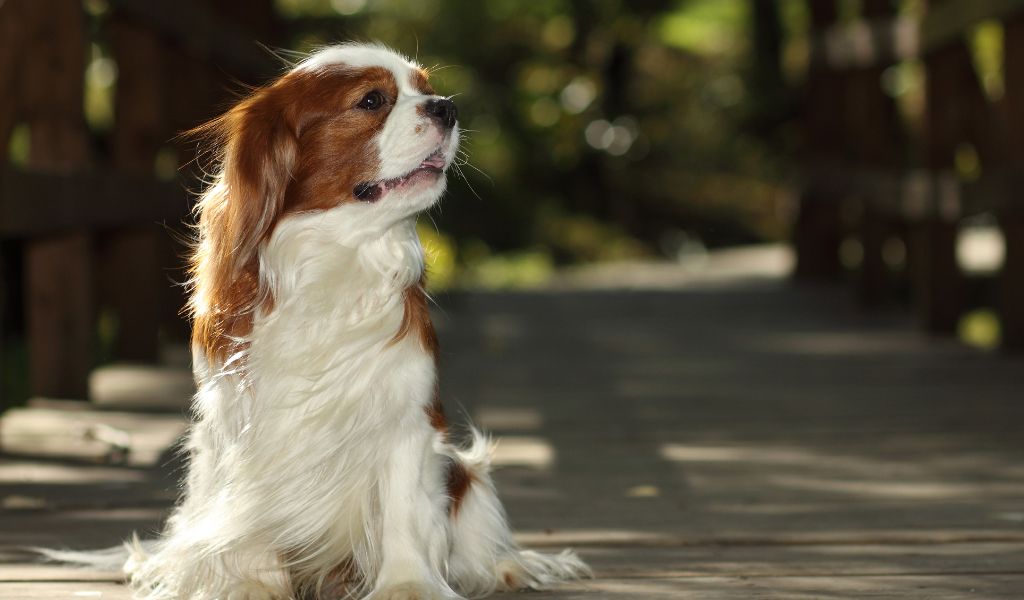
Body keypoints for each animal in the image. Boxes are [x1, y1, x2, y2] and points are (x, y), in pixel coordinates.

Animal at [91, 43, 589, 597]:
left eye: (426, 87)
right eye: (372, 100)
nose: (447, 107)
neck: (339, 257)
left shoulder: (407, 419)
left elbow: (404, 512)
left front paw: (407, 586)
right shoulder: (239, 424)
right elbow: (244, 518)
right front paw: (249, 584)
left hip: (467, 474)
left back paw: (506, 567)